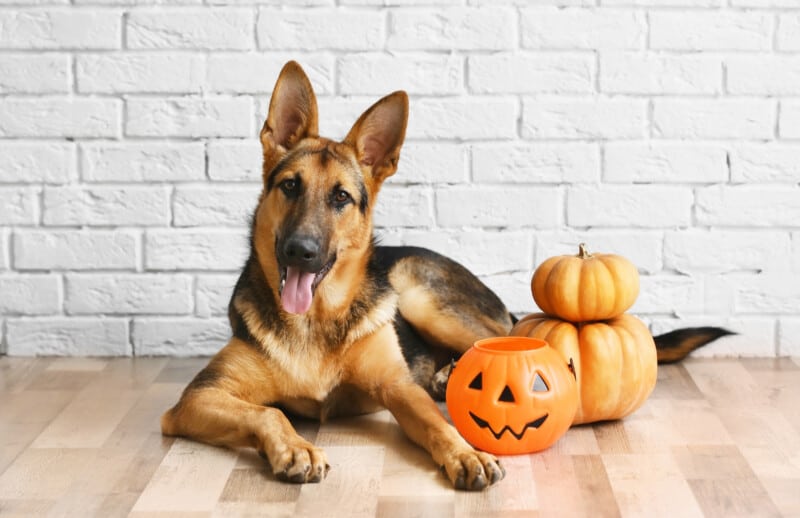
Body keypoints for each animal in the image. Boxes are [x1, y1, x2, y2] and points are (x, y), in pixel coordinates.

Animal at [161, 61, 732, 492]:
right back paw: (443, 374)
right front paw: (296, 449)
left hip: (418, 290)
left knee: (519, 347)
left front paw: (466, 453)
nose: (300, 252)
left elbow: (437, 424)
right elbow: (269, 414)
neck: (316, 321)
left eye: (341, 197)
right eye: (289, 186)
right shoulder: (194, 401)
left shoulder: (397, 388)